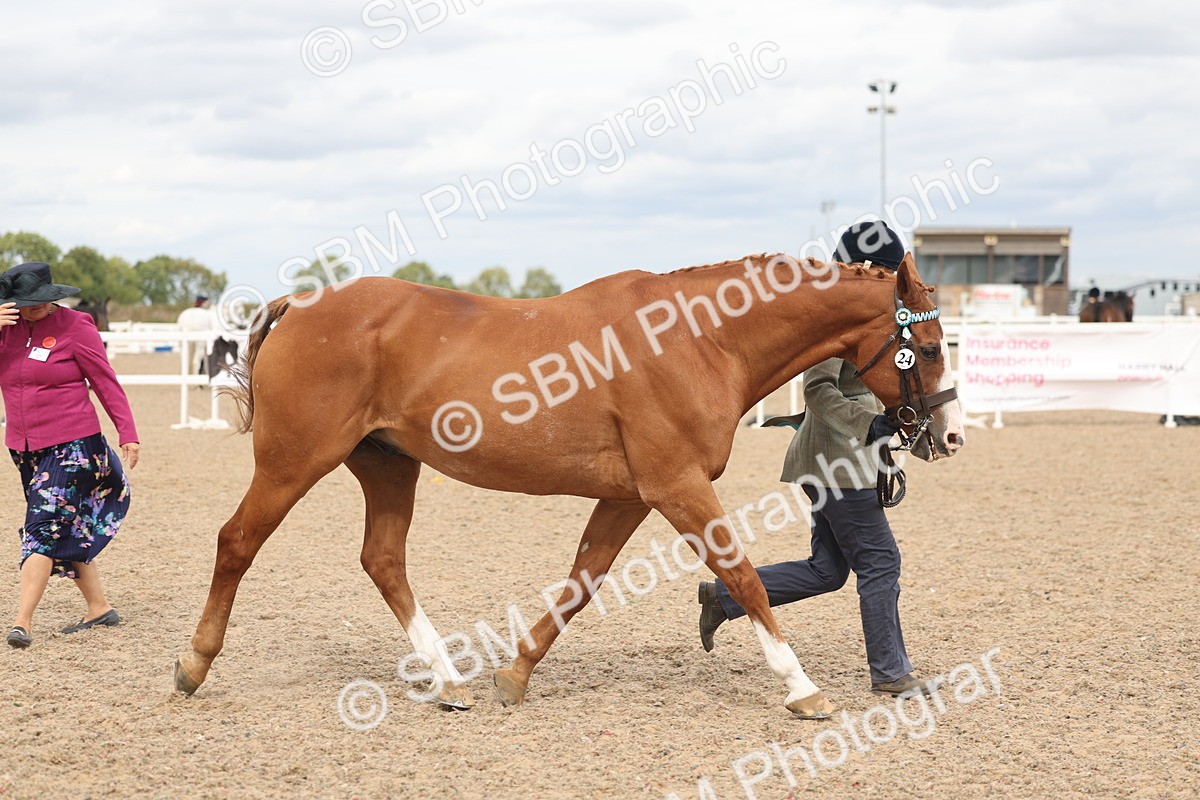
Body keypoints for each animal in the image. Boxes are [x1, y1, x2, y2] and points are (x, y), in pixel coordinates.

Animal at [172, 252, 964, 719]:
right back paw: (192, 666)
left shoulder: (631, 495)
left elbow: (583, 582)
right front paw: (802, 689)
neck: (700, 340)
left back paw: (450, 682)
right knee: (237, 542)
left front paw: (515, 676)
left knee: (383, 560)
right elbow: (743, 576)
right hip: (293, 462)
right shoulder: (676, 487)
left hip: (389, 465)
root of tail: (299, 306)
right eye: (927, 348)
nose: (946, 436)